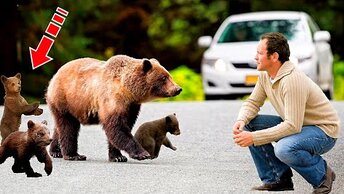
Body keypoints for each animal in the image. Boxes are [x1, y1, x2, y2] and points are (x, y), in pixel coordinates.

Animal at [45, 55, 183, 162]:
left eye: (169, 75)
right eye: (164, 78)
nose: (178, 89)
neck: (128, 90)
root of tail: (56, 74)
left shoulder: (131, 106)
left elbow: (124, 126)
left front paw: (117, 156)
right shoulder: (112, 99)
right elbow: (117, 127)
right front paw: (142, 154)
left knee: (60, 127)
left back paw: (56, 151)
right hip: (65, 99)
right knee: (68, 127)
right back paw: (73, 155)